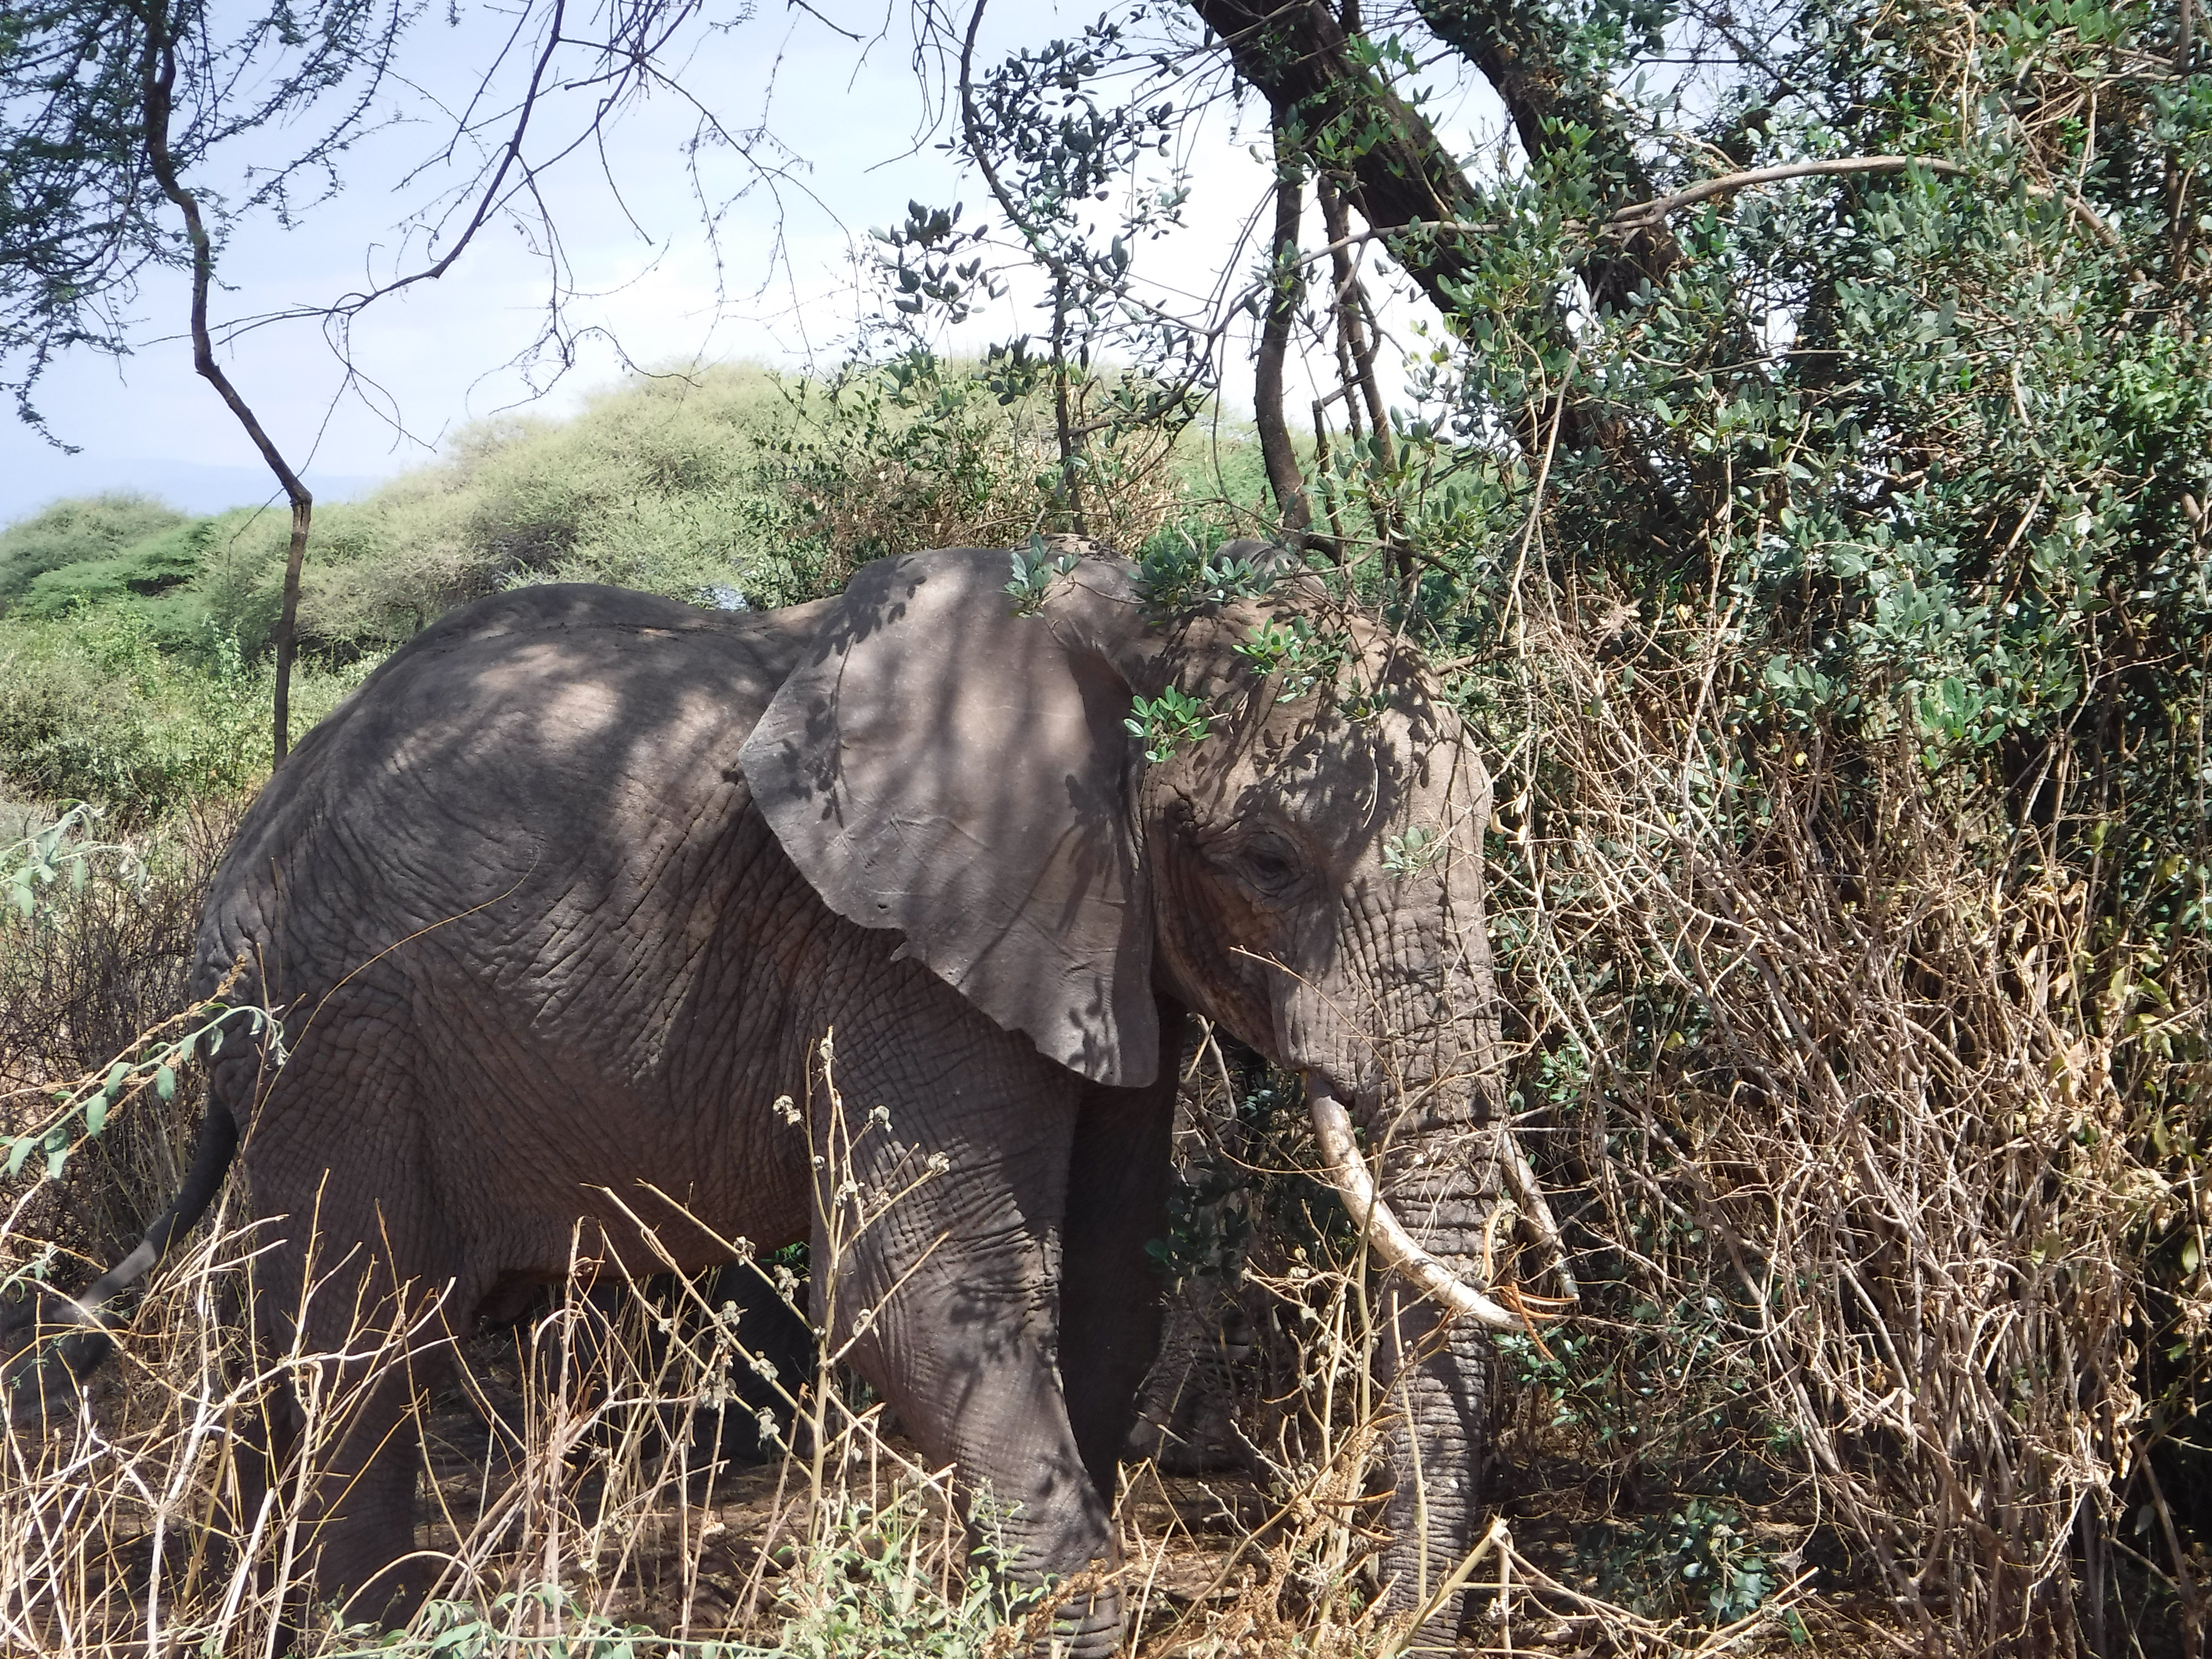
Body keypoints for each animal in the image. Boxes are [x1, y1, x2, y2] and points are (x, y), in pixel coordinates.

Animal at [7, 544, 1568, 1650]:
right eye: (1268, 861)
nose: (1384, 1614)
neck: (1118, 617)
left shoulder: (1099, 937)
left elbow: (1110, 1276)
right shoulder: (891, 949)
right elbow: (918, 1289)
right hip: (329, 1033)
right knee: (350, 1345)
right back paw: (371, 1629)